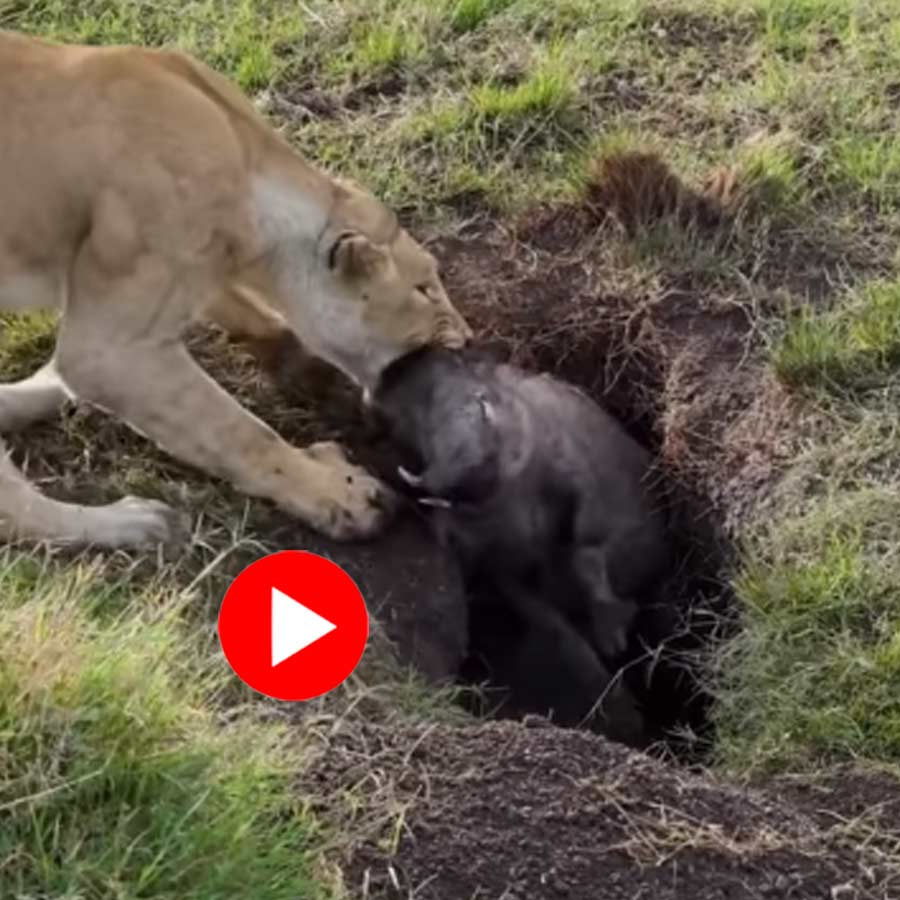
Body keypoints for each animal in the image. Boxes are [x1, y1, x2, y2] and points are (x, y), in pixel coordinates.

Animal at [0, 31, 471, 548]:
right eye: (425, 288)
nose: (468, 341)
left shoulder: (194, 269)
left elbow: (251, 314)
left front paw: (309, 373)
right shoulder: (112, 349)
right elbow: (241, 434)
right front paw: (343, 498)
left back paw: (49, 388)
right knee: (14, 509)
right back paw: (132, 522)